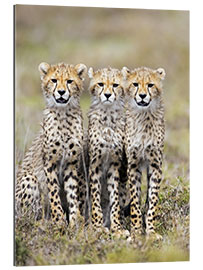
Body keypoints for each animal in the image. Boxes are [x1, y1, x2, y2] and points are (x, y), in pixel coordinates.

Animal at [14, 61, 87, 228]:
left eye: (69, 81)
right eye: (54, 80)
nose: (61, 92)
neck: (64, 114)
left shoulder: (71, 164)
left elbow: (72, 193)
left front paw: (75, 220)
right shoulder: (49, 162)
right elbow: (53, 191)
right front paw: (59, 220)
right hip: (29, 179)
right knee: (28, 215)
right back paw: (41, 221)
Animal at [122, 66, 167, 239]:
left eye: (150, 85)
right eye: (135, 84)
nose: (142, 95)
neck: (143, 115)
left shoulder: (155, 166)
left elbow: (152, 199)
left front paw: (151, 232)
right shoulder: (133, 166)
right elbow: (135, 201)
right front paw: (136, 231)